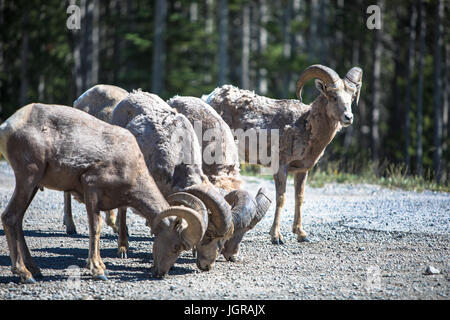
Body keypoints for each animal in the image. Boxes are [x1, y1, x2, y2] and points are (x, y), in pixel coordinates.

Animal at [0, 103, 207, 282]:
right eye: (176, 246)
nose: (161, 273)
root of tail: (8, 125)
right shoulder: (91, 186)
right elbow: (96, 227)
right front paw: (98, 270)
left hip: (34, 185)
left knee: (18, 221)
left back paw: (35, 270)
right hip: (28, 178)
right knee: (10, 217)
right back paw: (25, 274)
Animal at [206, 65, 364, 245]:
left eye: (352, 97)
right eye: (333, 96)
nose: (348, 117)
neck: (306, 126)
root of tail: (209, 98)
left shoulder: (302, 170)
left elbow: (299, 198)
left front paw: (301, 234)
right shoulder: (281, 167)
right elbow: (281, 198)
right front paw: (276, 237)